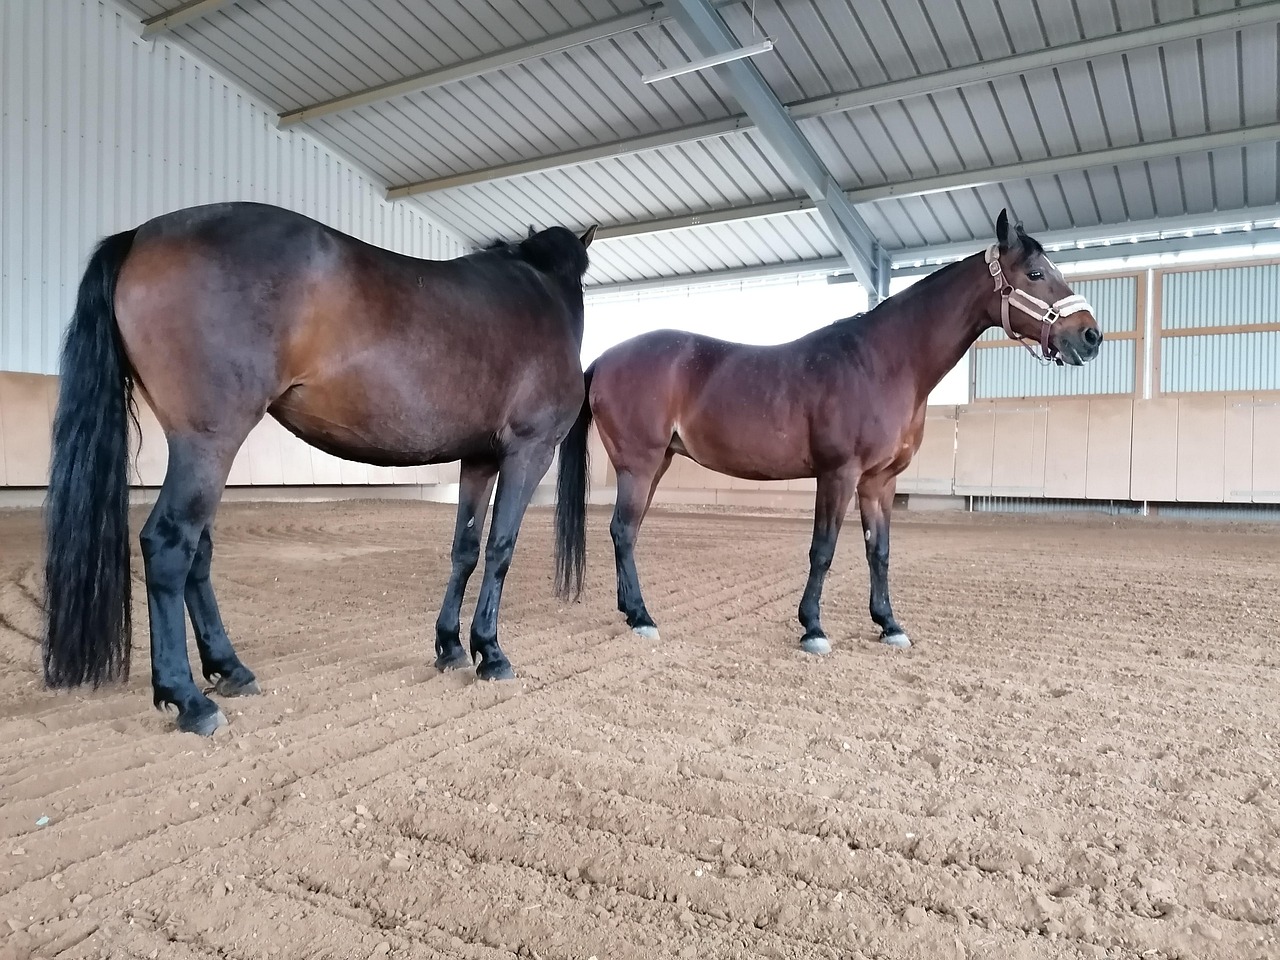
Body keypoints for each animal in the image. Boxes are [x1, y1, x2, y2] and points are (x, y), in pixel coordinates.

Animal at [43, 201, 598, 736]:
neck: (541, 291)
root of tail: (141, 235)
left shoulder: (479, 457)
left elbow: (465, 548)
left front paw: (451, 646)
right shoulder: (528, 451)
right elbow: (501, 549)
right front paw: (491, 652)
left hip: (203, 449)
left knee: (198, 550)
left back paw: (230, 669)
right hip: (208, 442)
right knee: (168, 545)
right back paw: (189, 700)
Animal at [551, 210, 1102, 655]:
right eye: (1035, 274)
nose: (1091, 336)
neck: (882, 362)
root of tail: (605, 359)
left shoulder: (880, 481)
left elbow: (878, 551)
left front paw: (889, 625)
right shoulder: (838, 474)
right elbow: (824, 549)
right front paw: (813, 629)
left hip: (657, 463)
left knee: (627, 532)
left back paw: (631, 612)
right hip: (640, 464)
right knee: (623, 531)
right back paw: (643, 618)